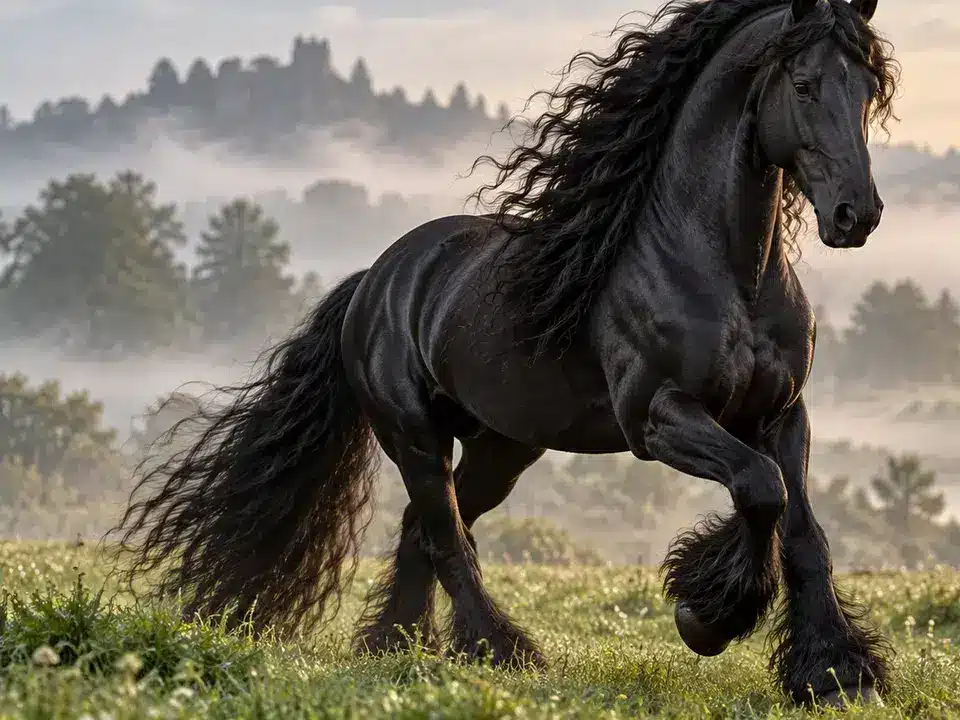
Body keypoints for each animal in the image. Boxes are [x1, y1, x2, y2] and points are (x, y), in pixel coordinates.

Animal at [112, 0, 900, 708]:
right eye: (804, 84)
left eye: (869, 89)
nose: (856, 215)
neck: (725, 269)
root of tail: (376, 280)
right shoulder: (658, 417)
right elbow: (759, 490)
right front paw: (705, 616)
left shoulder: (781, 414)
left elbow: (799, 528)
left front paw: (835, 674)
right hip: (414, 436)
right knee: (444, 536)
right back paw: (497, 650)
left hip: (502, 449)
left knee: (426, 528)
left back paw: (397, 647)